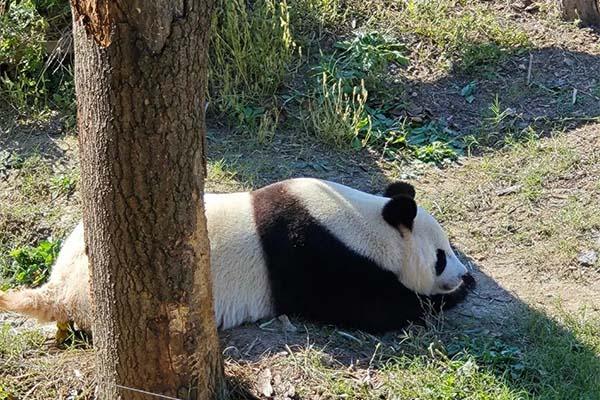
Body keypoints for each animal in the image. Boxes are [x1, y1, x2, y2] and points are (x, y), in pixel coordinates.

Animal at [0, 178, 474, 334]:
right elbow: (368, 309)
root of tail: (60, 287)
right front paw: (445, 297)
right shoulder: (315, 254)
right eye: (440, 256)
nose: (460, 272)